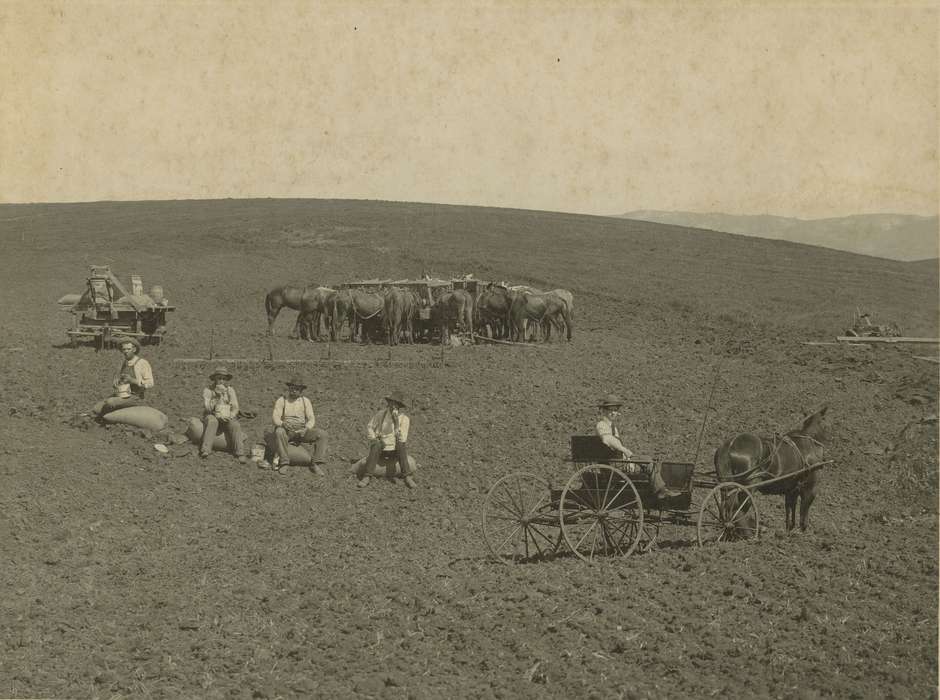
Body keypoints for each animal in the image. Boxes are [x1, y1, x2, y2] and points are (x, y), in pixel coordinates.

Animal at [712, 404, 828, 532]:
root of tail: (730, 445)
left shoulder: (791, 489)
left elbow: (790, 510)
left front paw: (789, 530)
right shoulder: (809, 488)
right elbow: (804, 508)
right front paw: (801, 530)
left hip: (727, 484)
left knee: (726, 506)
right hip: (748, 486)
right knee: (737, 510)